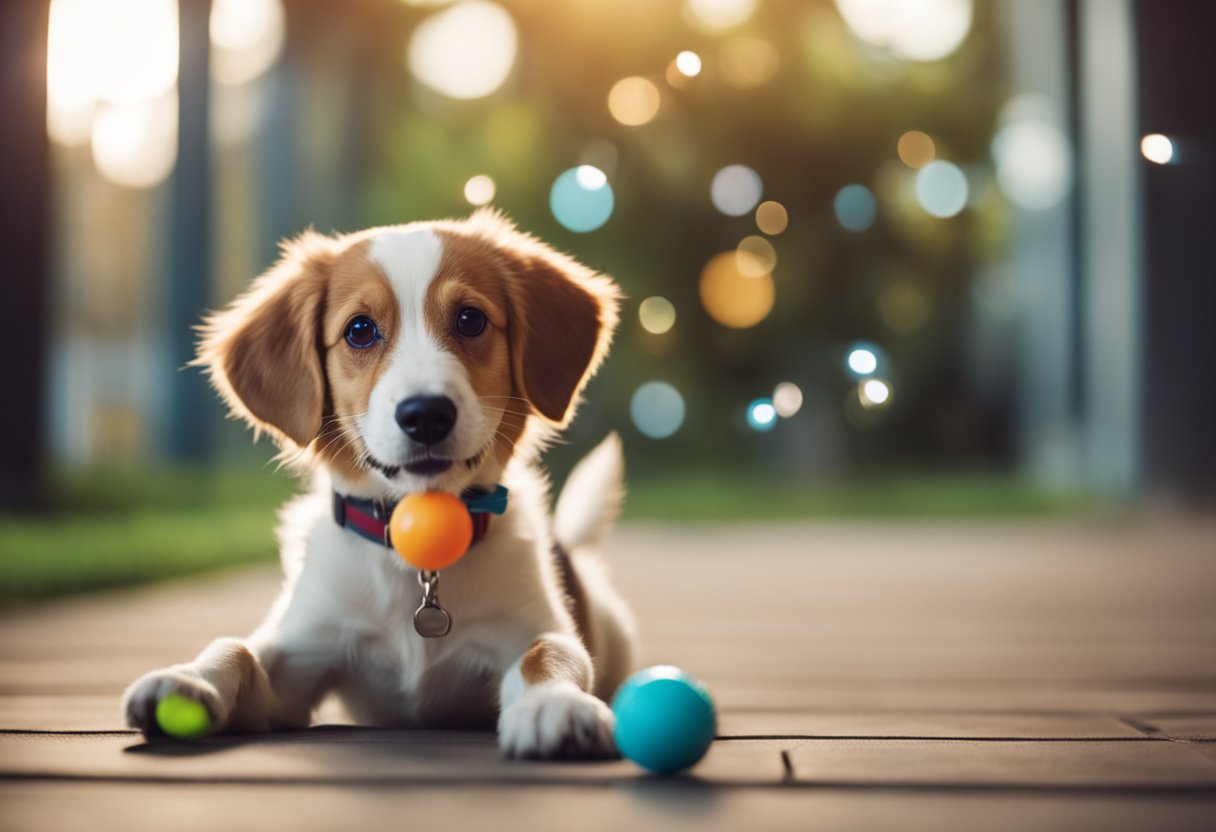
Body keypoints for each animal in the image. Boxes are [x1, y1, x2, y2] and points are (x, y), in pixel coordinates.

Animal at [122, 211, 637, 759]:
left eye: (470, 319)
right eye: (360, 330)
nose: (426, 414)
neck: (417, 560)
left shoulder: (529, 626)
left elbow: (549, 651)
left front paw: (554, 703)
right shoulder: (300, 654)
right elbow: (237, 647)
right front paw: (187, 680)